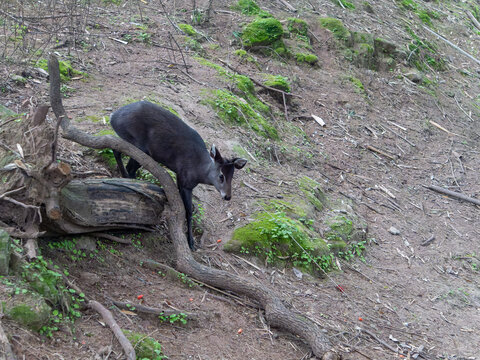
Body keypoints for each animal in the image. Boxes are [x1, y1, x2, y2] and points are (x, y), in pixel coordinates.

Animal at [109, 102, 248, 250]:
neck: (198, 172)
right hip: (139, 145)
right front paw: (190, 242)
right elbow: (187, 211)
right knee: (127, 164)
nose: (227, 196)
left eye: (232, 176)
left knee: (117, 150)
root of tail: (113, 117)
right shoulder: (183, 179)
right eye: (221, 175)